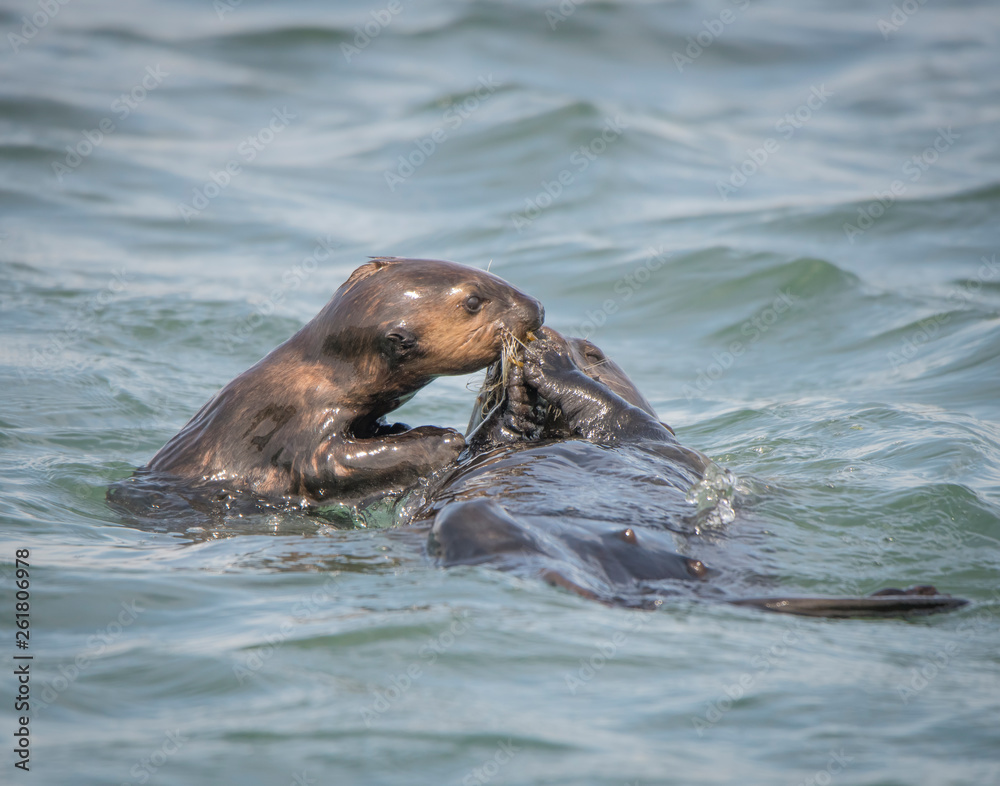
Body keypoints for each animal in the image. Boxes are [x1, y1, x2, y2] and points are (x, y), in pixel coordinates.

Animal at [108, 257, 543, 514]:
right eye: (473, 302)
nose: (536, 308)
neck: (324, 375)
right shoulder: (298, 422)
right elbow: (328, 465)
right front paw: (440, 439)